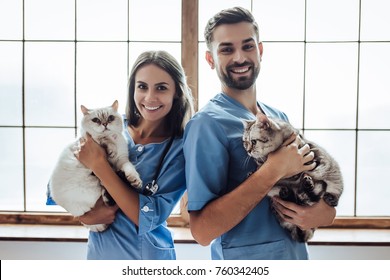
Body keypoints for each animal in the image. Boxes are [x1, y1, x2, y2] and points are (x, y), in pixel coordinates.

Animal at [49, 100, 142, 232]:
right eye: (96, 120)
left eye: (110, 118)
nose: (105, 123)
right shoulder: (93, 140)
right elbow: (104, 139)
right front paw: (111, 148)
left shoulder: (122, 160)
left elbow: (130, 168)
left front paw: (135, 180)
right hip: (93, 184)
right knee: (105, 194)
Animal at [242, 112, 342, 242]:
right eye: (245, 142)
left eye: (253, 142)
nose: (248, 151)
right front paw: (253, 171)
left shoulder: (312, 157)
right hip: (275, 194)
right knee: (297, 198)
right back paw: (288, 192)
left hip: (334, 183)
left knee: (310, 198)